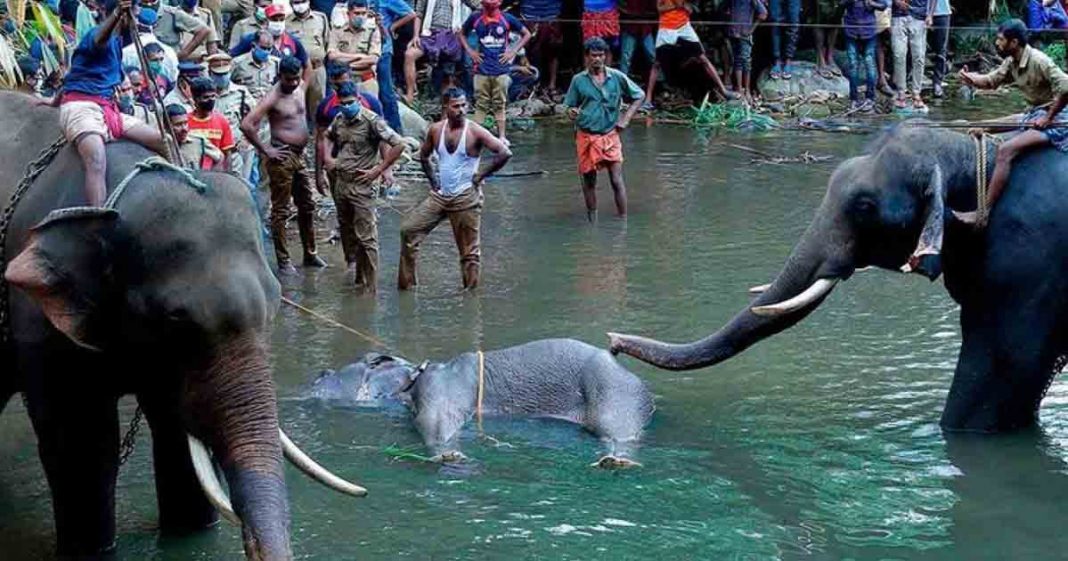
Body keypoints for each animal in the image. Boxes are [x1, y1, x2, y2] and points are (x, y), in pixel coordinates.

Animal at [0, 93, 360, 560]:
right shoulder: (39, 322)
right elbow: (83, 445)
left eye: (275, 303)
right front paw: (93, 549)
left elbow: (175, 432)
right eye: (174, 319)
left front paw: (190, 533)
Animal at [309, 339, 655, 467]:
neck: (411, 377)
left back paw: (615, 461)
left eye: (326, 373)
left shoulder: (440, 391)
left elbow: (436, 423)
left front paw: (450, 455)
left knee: (618, 432)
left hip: (614, 394)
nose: (316, 376)